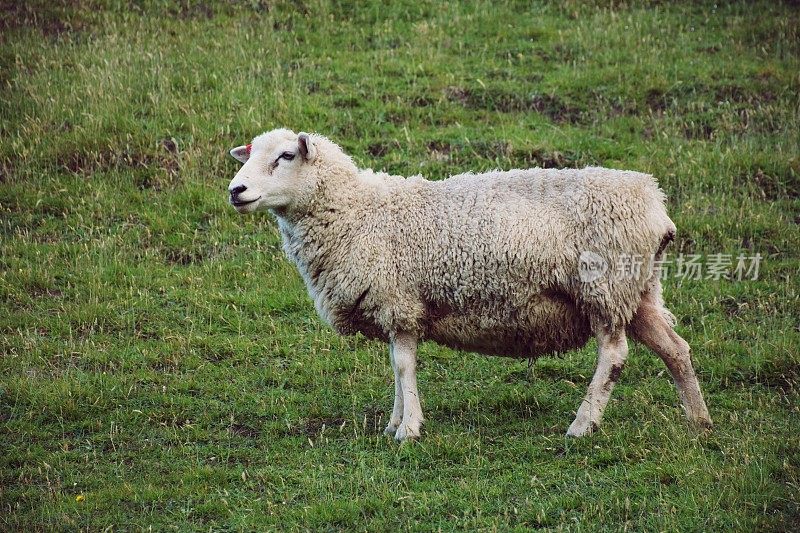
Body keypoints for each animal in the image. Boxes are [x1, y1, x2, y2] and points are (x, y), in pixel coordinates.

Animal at [225, 128, 712, 440]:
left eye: (285, 156)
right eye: (250, 156)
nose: (236, 190)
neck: (357, 211)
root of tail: (655, 204)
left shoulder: (400, 301)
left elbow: (404, 366)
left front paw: (408, 430)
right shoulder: (395, 308)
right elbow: (397, 368)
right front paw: (394, 423)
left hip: (605, 287)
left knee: (613, 356)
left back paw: (582, 426)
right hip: (639, 290)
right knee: (675, 348)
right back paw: (699, 421)